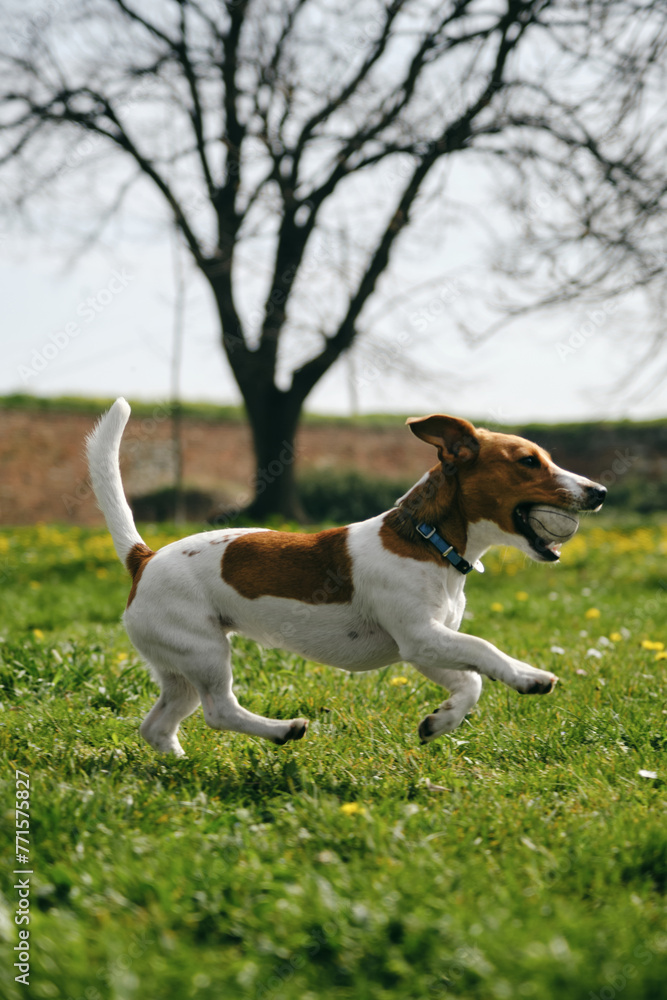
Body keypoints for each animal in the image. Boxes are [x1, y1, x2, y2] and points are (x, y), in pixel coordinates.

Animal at [86, 396, 608, 752]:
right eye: (528, 461)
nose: (599, 491)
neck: (428, 540)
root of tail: (144, 557)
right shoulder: (421, 636)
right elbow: (485, 651)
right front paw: (528, 677)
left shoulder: (424, 648)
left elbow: (472, 681)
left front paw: (441, 721)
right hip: (205, 652)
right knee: (220, 711)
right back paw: (282, 730)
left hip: (180, 668)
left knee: (157, 725)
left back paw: (179, 762)